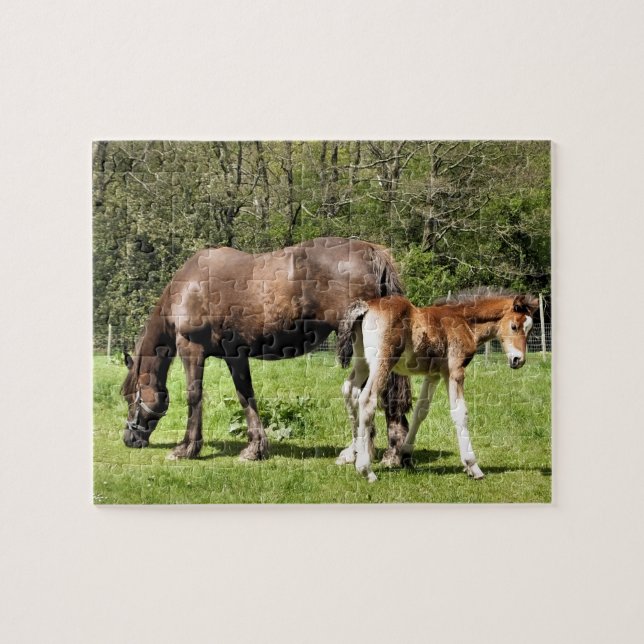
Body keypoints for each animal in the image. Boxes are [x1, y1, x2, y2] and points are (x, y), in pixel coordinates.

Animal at [121, 237, 412, 463]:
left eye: (129, 397)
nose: (128, 438)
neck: (188, 287)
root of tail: (372, 252)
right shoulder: (235, 356)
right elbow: (246, 396)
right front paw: (255, 448)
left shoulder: (191, 348)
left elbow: (194, 396)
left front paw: (186, 448)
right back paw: (394, 452)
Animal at [335, 289, 539, 482]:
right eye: (514, 326)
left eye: (529, 330)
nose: (518, 360)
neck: (464, 322)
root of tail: (367, 306)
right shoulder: (454, 371)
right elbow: (460, 413)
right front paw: (473, 466)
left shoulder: (433, 375)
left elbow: (421, 411)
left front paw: (405, 456)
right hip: (383, 362)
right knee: (367, 399)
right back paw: (365, 469)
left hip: (362, 362)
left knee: (349, 391)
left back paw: (354, 453)